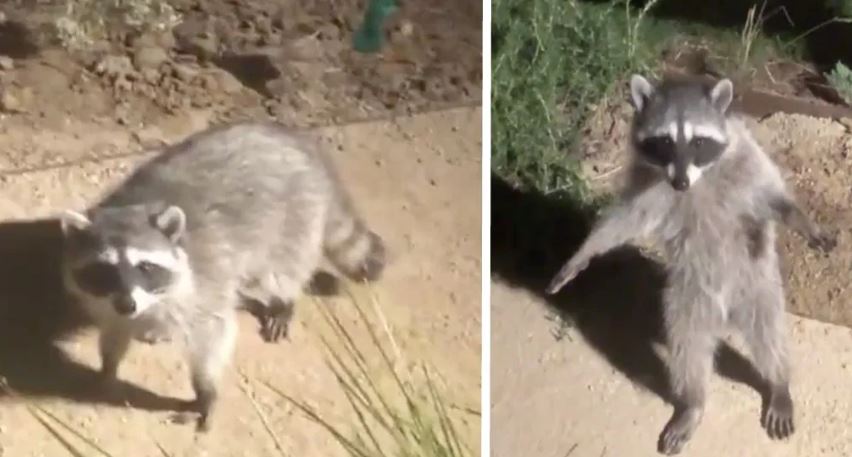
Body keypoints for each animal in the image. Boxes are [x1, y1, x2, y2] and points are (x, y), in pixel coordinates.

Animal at [55, 120, 382, 428]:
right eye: (104, 270)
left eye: (145, 267)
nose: (128, 305)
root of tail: (299, 143)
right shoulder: (107, 299)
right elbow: (114, 329)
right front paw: (108, 365)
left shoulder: (204, 280)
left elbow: (212, 332)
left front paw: (205, 389)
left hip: (296, 216)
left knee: (282, 268)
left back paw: (283, 299)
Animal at [544, 75, 832, 452]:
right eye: (665, 141)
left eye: (698, 141)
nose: (680, 182)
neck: (698, 178)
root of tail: (725, 313)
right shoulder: (647, 182)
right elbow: (624, 220)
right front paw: (584, 252)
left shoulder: (746, 158)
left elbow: (770, 194)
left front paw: (802, 220)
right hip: (687, 299)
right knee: (688, 349)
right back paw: (693, 402)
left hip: (757, 284)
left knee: (768, 332)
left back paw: (778, 380)